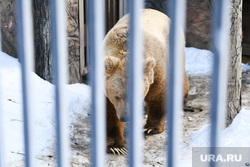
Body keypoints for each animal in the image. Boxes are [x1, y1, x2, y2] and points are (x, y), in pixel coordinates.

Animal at [103, 8, 188, 155]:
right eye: (117, 96)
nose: (126, 117)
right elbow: (110, 111)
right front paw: (116, 146)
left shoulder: (156, 67)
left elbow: (158, 95)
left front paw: (150, 128)